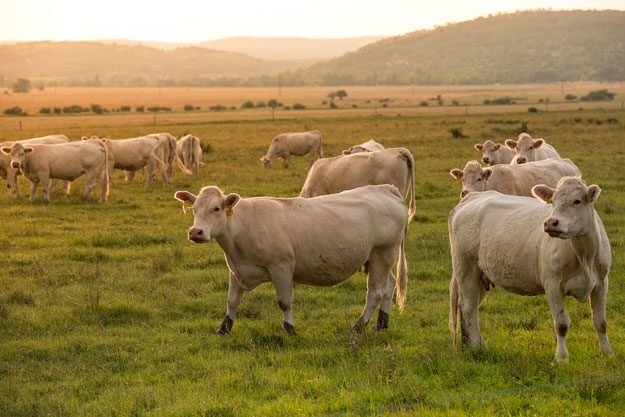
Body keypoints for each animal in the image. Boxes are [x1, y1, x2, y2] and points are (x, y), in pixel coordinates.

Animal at [174, 185, 410, 334]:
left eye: (216, 208)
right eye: (194, 209)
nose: (196, 232)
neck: (243, 226)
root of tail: (385, 189)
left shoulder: (281, 267)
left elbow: (284, 302)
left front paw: (290, 329)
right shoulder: (237, 269)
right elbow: (232, 301)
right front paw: (224, 328)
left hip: (382, 253)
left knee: (375, 293)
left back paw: (358, 326)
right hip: (378, 258)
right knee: (388, 286)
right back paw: (381, 323)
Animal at [448, 177, 616, 362]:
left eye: (577, 201)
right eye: (553, 201)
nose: (550, 222)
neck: (584, 255)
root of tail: (472, 197)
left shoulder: (601, 283)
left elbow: (600, 322)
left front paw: (608, 352)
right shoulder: (552, 285)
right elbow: (561, 324)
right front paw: (561, 358)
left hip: (481, 276)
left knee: (468, 307)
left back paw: (468, 346)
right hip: (466, 267)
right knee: (469, 307)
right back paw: (479, 346)